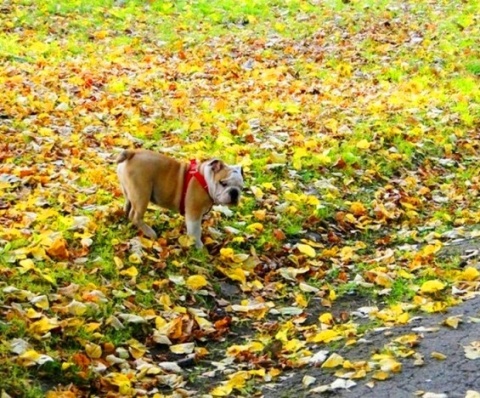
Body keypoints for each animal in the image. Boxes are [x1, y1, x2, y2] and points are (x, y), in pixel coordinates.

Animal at [116, 149, 244, 247]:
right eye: (223, 183)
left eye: (241, 187)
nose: (234, 192)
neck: (206, 181)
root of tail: (132, 153)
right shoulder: (194, 212)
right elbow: (195, 231)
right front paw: (199, 247)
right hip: (141, 194)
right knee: (135, 215)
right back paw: (150, 232)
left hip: (129, 191)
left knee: (128, 205)